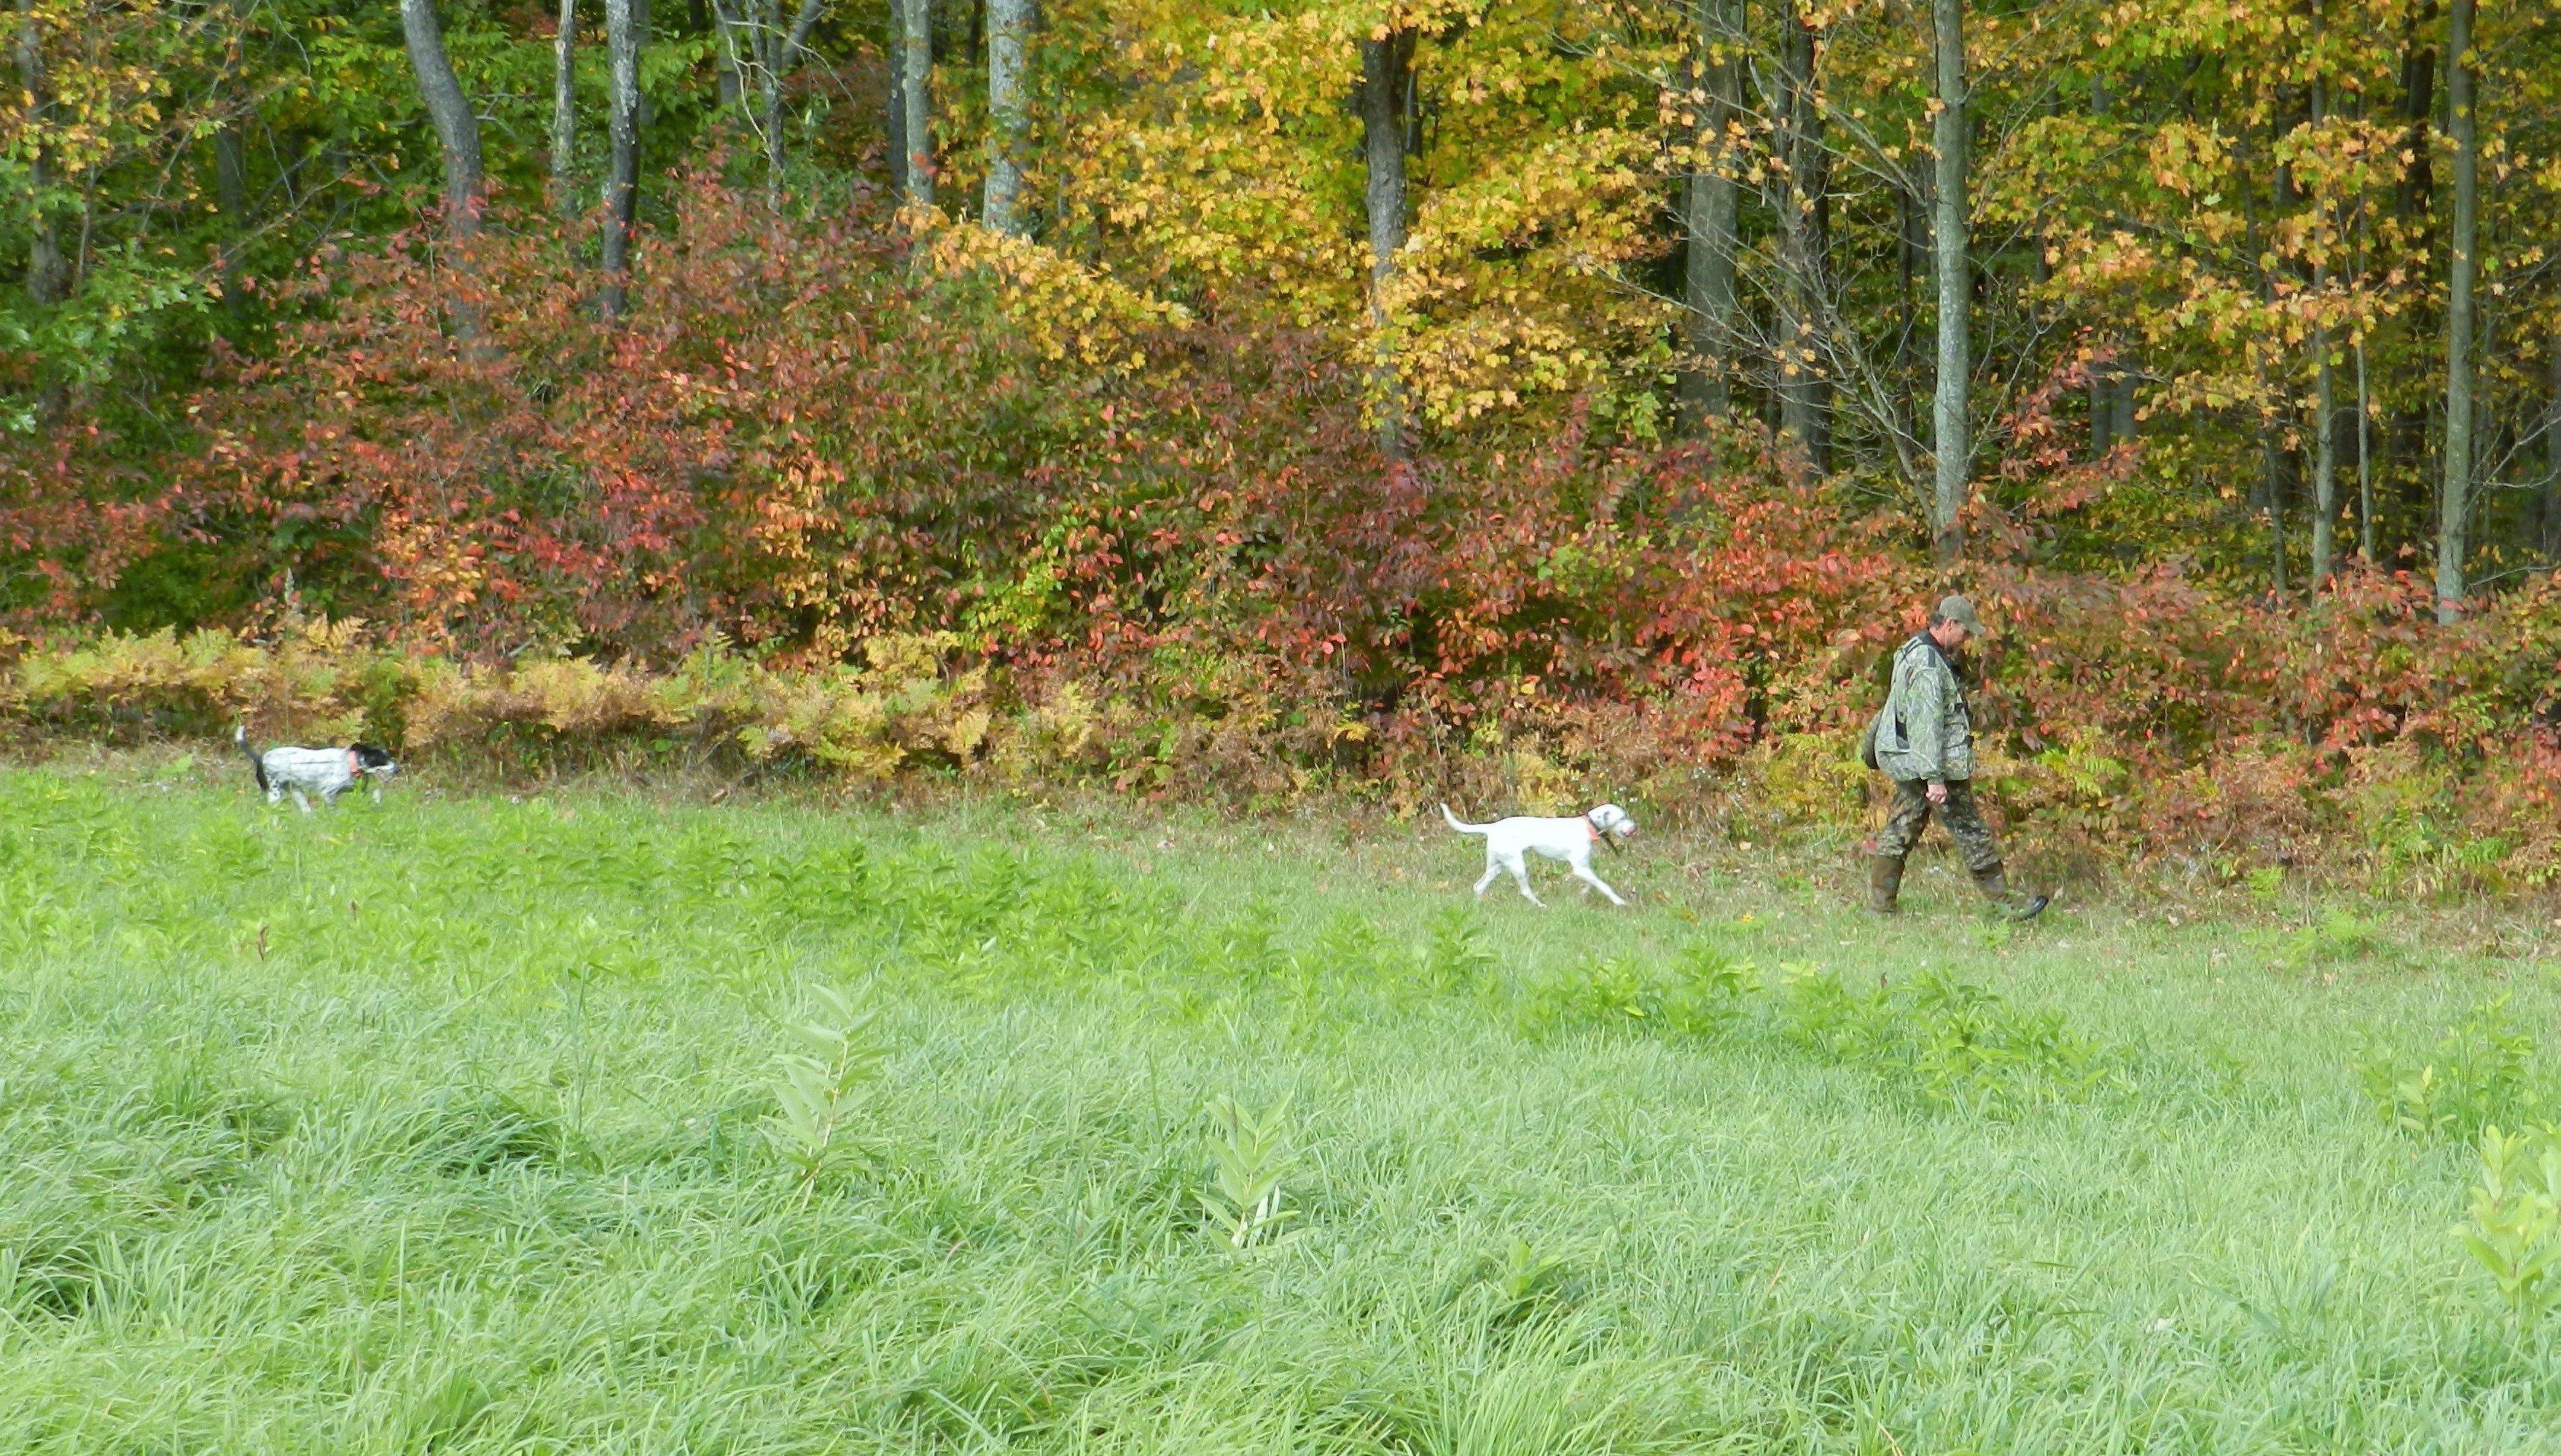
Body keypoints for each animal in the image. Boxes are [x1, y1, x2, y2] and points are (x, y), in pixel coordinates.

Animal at [237, 721, 399, 813]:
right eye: (381, 759)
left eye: (389, 756)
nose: (398, 769)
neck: (350, 764)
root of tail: (260, 757)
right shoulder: (328, 793)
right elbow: (334, 809)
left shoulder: (359, 790)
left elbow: (375, 794)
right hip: (275, 794)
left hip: (297, 792)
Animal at [1444, 798, 1638, 901]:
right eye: (1622, 817)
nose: (1635, 827)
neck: (1588, 826)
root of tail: (1493, 827)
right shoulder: (1580, 868)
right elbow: (1603, 885)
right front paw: (1619, 901)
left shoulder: (1585, 868)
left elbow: (1593, 883)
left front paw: (1583, 894)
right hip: (1517, 865)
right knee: (1525, 891)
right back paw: (1540, 906)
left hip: (1497, 866)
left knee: (1479, 886)